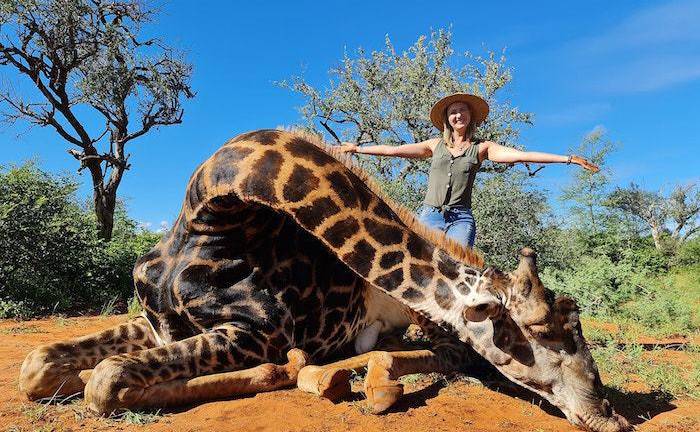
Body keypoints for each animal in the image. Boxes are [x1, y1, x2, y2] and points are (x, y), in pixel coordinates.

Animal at [20, 129, 636, 432]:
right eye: (545, 335)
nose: (610, 419)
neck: (209, 217)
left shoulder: (256, 334)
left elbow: (106, 381)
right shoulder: (156, 323)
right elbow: (38, 366)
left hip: (423, 327)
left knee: (445, 355)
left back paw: (353, 377)